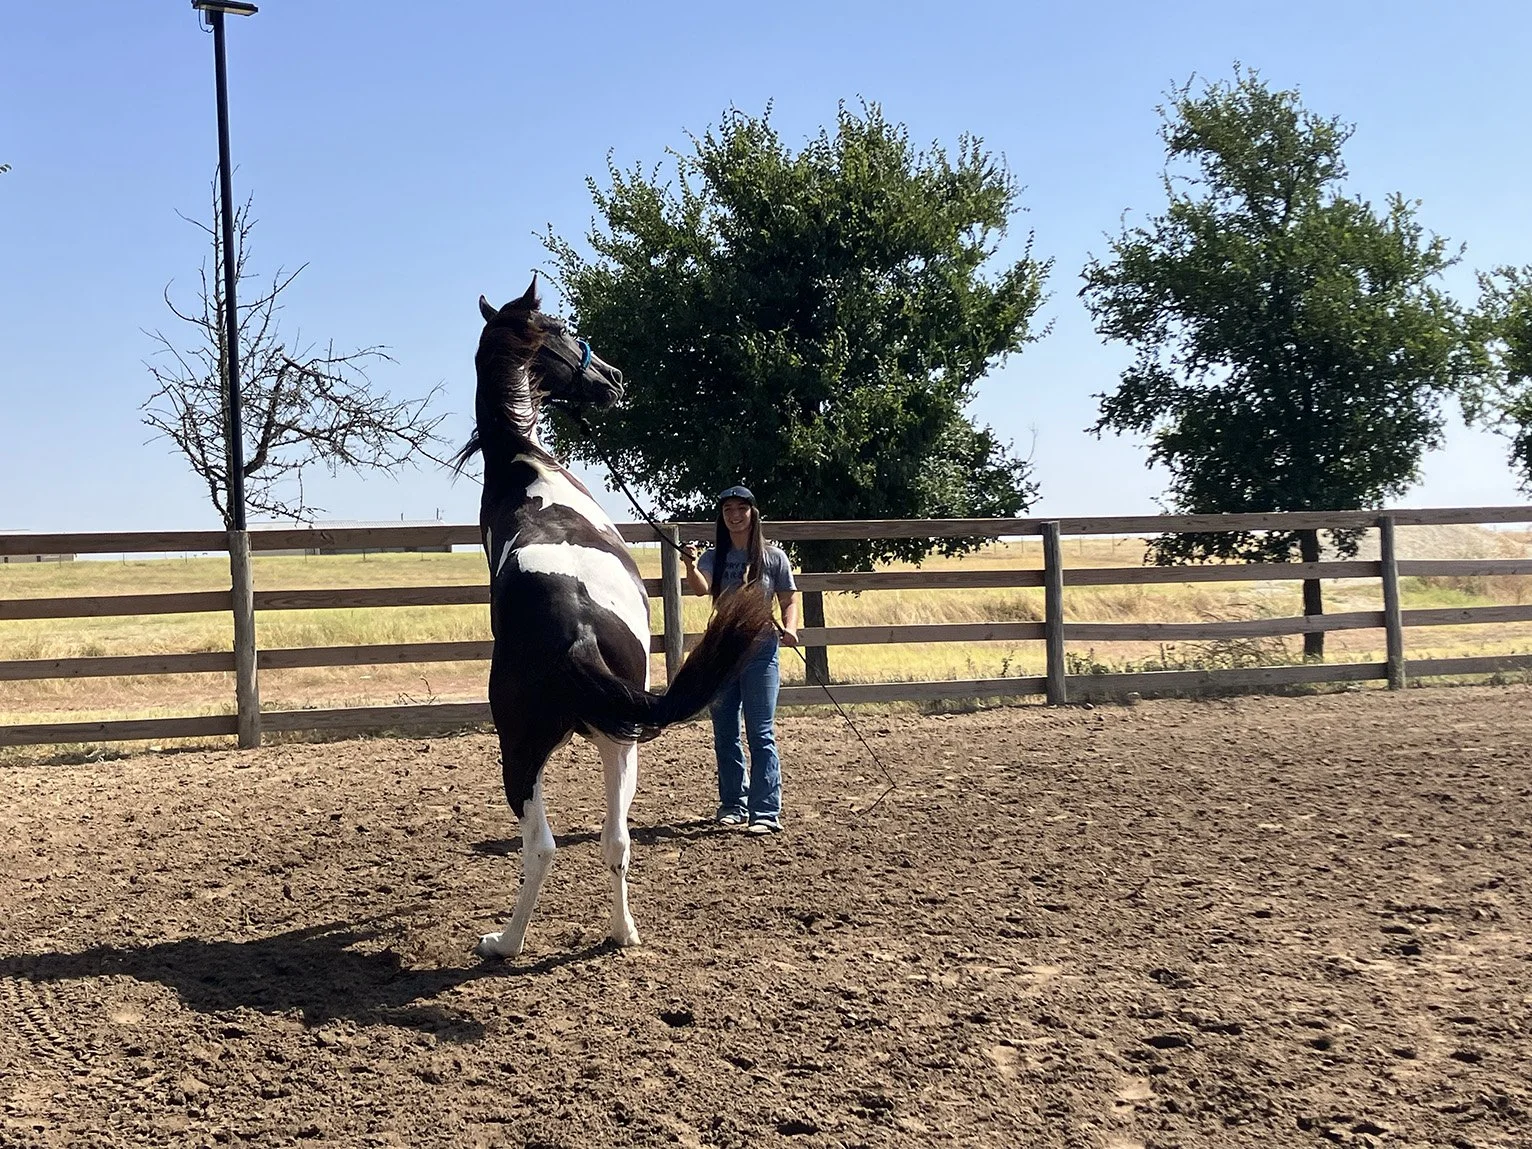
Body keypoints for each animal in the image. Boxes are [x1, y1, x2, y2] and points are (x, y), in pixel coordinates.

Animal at [455, 276, 772, 959]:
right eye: (561, 330)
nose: (613, 379)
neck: (525, 466)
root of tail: (573, 630)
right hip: (586, 744)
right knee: (579, 844)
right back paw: (539, 940)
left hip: (559, 747)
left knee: (575, 844)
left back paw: (552, 938)